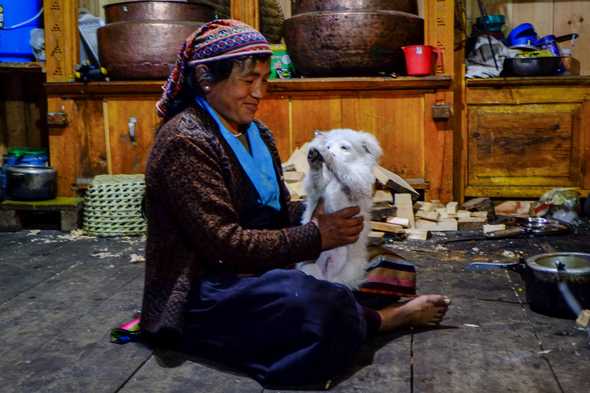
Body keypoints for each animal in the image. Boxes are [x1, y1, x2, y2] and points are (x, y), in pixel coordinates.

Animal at [300, 127, 384, 286]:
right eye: (328, 146)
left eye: (344, 147)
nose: (326, 151)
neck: (333, 178)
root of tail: (327, 274)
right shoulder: (316, 189)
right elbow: (316, 178)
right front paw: (315, 159)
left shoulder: (358, 185)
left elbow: (344, 169)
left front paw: (329, 157)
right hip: (308, 266)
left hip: (349, 270)